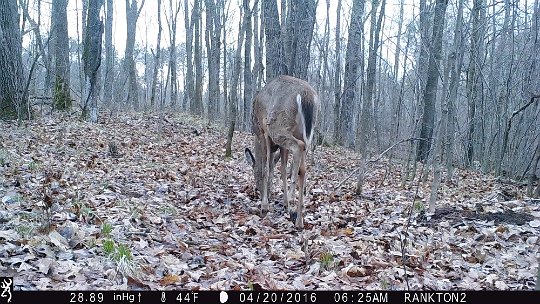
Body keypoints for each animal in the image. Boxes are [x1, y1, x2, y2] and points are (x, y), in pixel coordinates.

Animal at [246, 75, 320, 229]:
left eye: (255, 176)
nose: (259, 192)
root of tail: (307, 96)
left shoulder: (264, 133)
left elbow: (266, 169)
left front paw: (265, 205)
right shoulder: (281, 147)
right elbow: (282, 169)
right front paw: (284, 204)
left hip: (278, 124)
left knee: (298, 147)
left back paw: (292, 200)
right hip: (305, 133)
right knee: (303, 168)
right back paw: (299, 219)